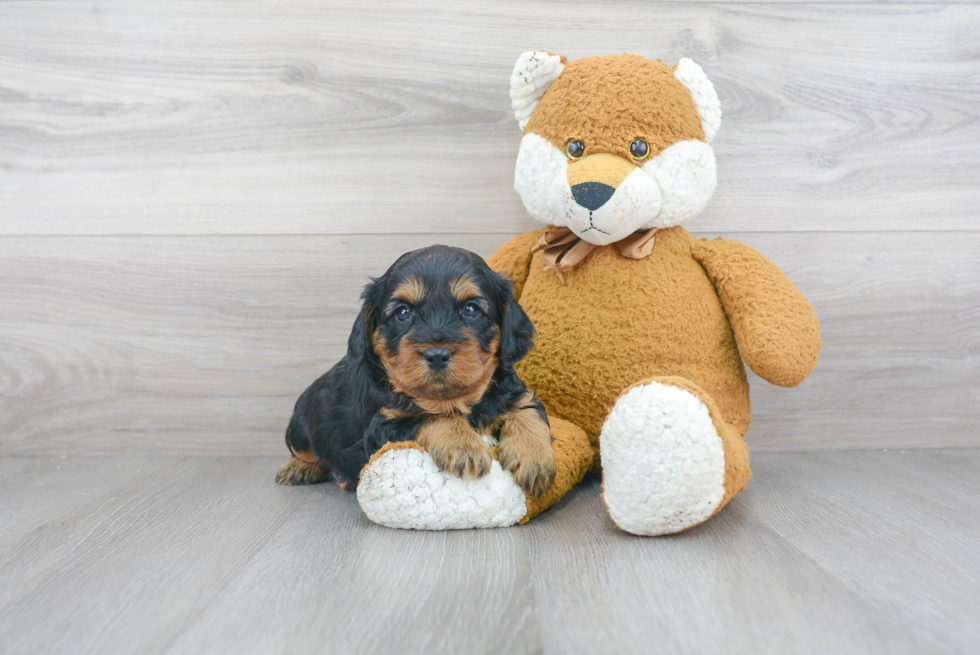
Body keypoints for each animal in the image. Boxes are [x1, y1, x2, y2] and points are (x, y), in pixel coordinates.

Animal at [274, 245, 560, 498]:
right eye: (403, 312)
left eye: (471, 309)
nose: (437, 355)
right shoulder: (384, 426)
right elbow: (433, 416)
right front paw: (463, 444)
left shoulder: (514, 392)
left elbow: (528, 409)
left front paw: (533, 458)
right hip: (299, 428)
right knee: (304, 451)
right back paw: (300, 468)